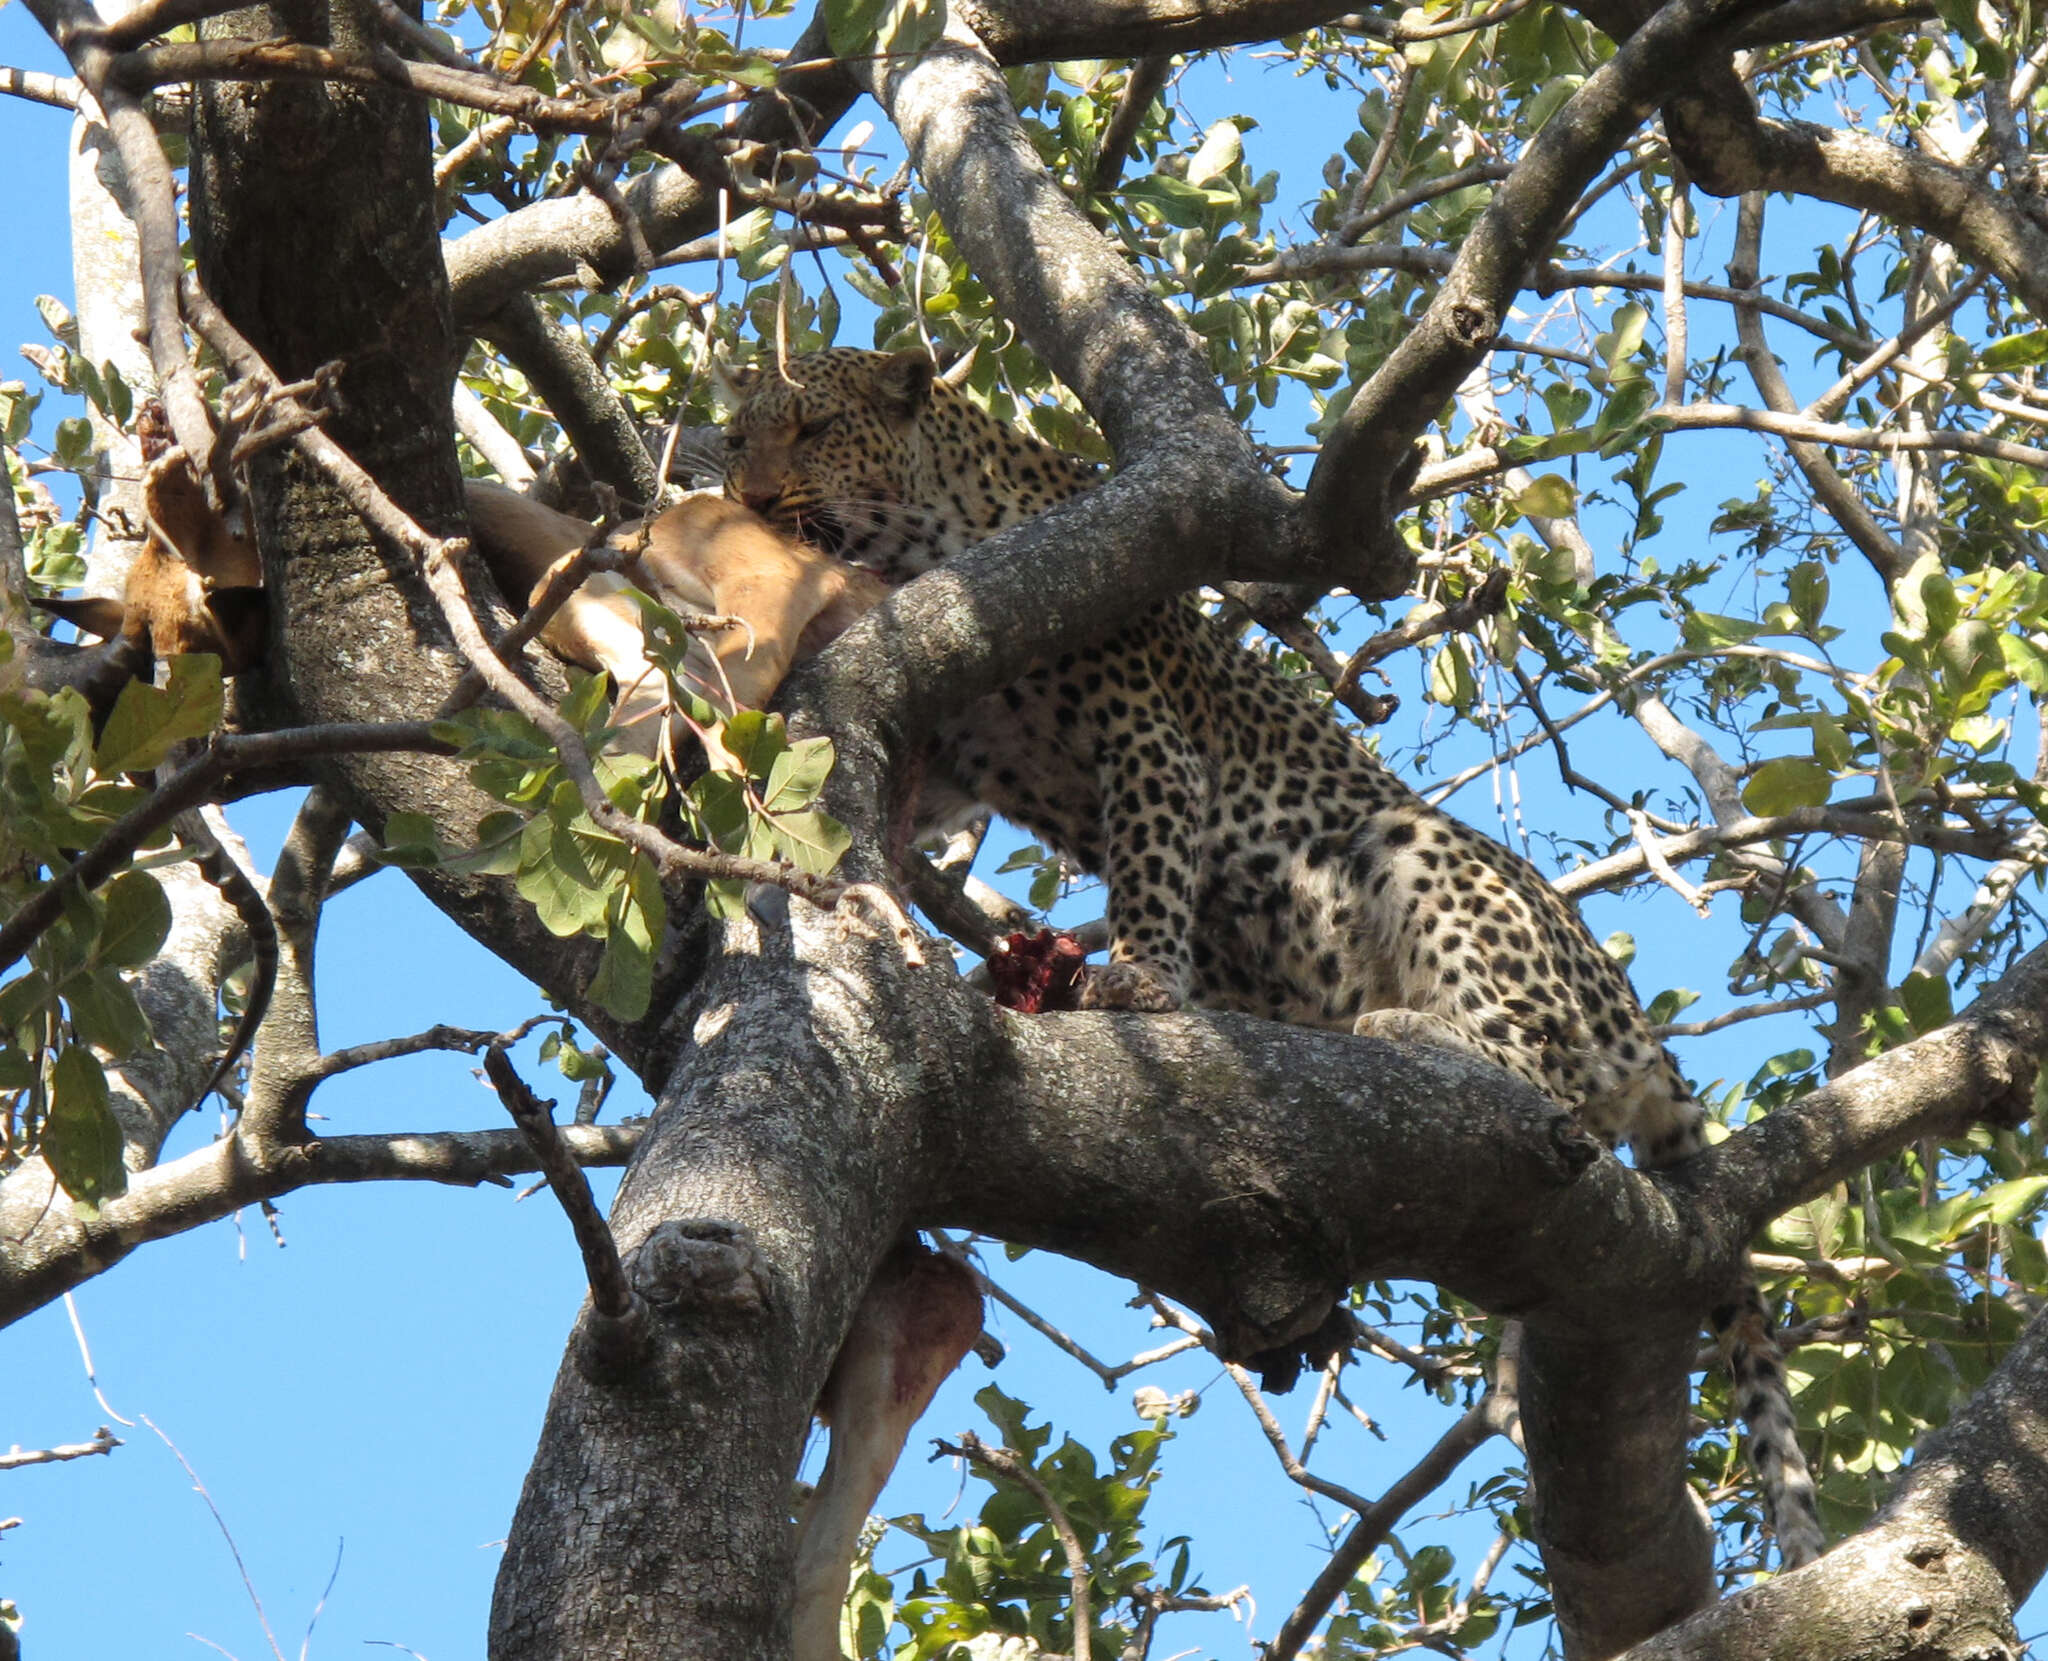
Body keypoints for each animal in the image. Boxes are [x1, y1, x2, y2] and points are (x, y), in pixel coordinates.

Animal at [716, 348, 1826, 1572]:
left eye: (813, 428)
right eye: (734, 436)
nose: (746, 497)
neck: (935, 530)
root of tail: (1642, 1028)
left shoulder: (1146, 734)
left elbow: (1150, 867)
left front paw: (1140, 981)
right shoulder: (959, 752)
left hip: (1426, 852)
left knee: (1548, 1075)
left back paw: (1398, 1028)